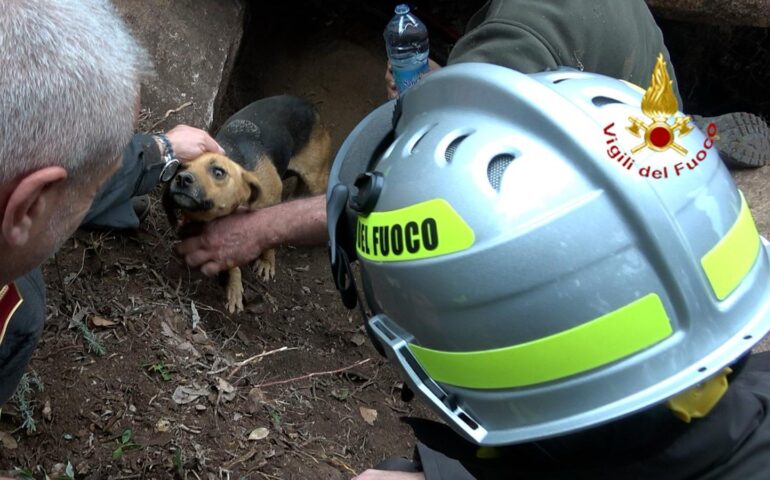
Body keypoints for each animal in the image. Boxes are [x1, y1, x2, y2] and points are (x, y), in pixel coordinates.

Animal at [162, 95, 330, 314]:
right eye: (180, 167)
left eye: (218, 172)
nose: (182, 179)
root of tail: (308, 104)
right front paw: (234, 287)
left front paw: (267, 261)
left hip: (316, 179)